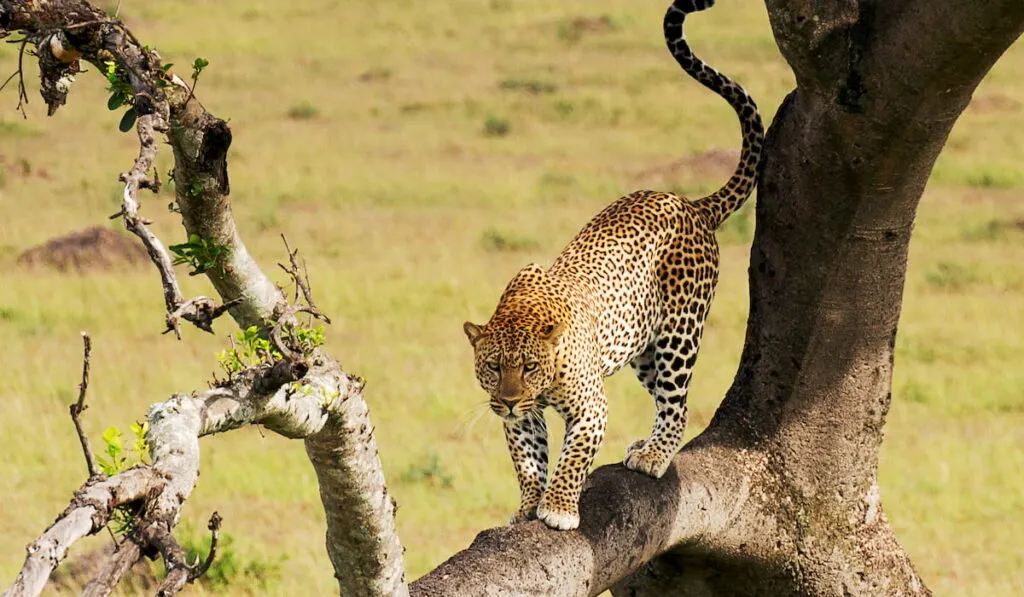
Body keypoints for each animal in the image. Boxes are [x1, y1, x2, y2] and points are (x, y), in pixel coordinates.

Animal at [464, 0, 761, 532]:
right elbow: (528, 460)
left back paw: (654, 455)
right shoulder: (523, 419)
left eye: (529, 366)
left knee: (678, 403)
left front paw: (559, 508)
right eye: (493, 368)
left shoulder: (590, 408)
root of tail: (688, 202)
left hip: (679, 335)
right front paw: (526, 505)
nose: (510, 399)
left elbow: (573, 456)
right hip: (642, 348)